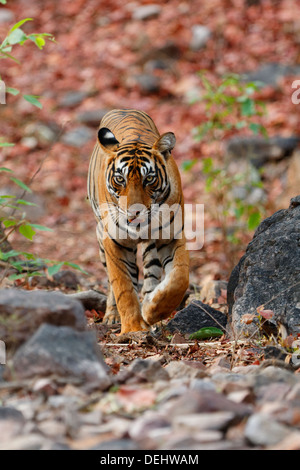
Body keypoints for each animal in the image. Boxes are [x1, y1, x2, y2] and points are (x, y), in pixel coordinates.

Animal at [88, 109, 189, 334]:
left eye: (149, 179)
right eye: (120, 179)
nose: (134, 213)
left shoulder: (172, 236)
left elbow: (179, 278)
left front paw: (154, 310)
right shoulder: (114, 241)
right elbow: (123, 286)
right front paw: (133, 327)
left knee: (151, 273)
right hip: (100, 240)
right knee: (114, 280)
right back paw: (112, 315)